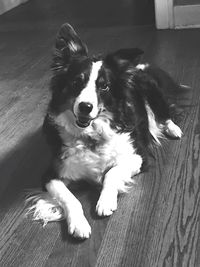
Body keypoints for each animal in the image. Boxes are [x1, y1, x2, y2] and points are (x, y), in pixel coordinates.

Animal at [26, 23, 183, 241]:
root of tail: (136, 68)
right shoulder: (51, 174)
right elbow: (69, 198)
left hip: (153, 92)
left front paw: (105, 202)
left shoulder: (139, 157)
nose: (85, 107)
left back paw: (173, 129)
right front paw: (78, 224)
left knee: (166, 112)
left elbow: (112, 173)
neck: (90, 136)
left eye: (104, 86)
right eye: (76, 82)